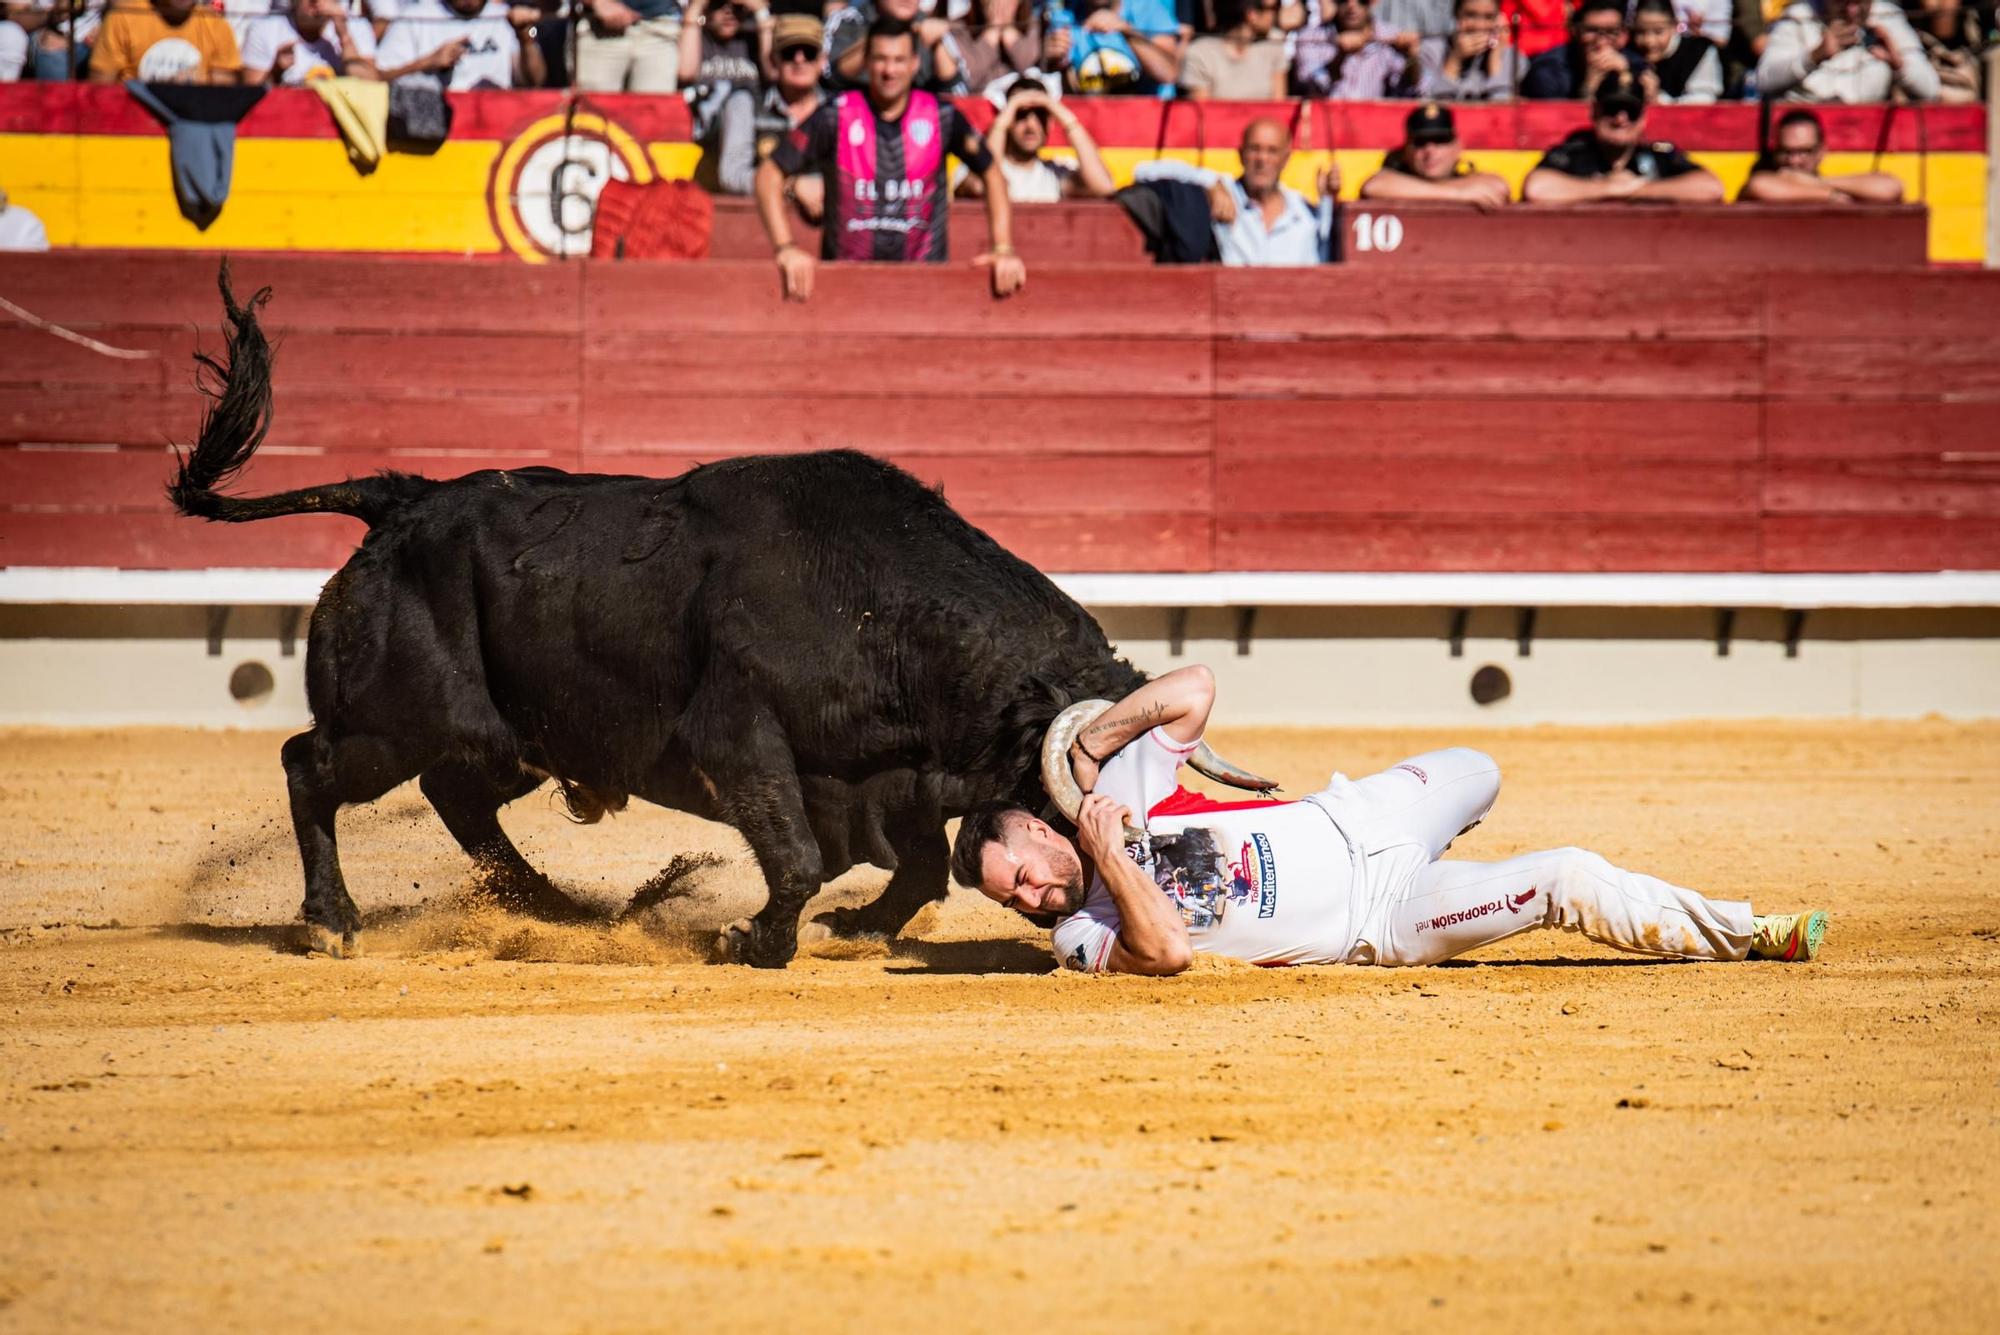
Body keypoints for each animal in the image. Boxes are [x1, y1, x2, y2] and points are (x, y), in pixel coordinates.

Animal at [172, 265, 1160, 963]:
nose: (1097, 880)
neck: (885, 611)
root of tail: (404, 499)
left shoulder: (889, 779)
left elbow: (905, 866)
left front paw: (847, 928)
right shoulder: (739, 738)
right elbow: (799, 856)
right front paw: (754, 940)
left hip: (506, 735)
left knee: (458, 798)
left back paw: (557, 909)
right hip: (398, 718)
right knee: (310, 765)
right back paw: (332, 920)